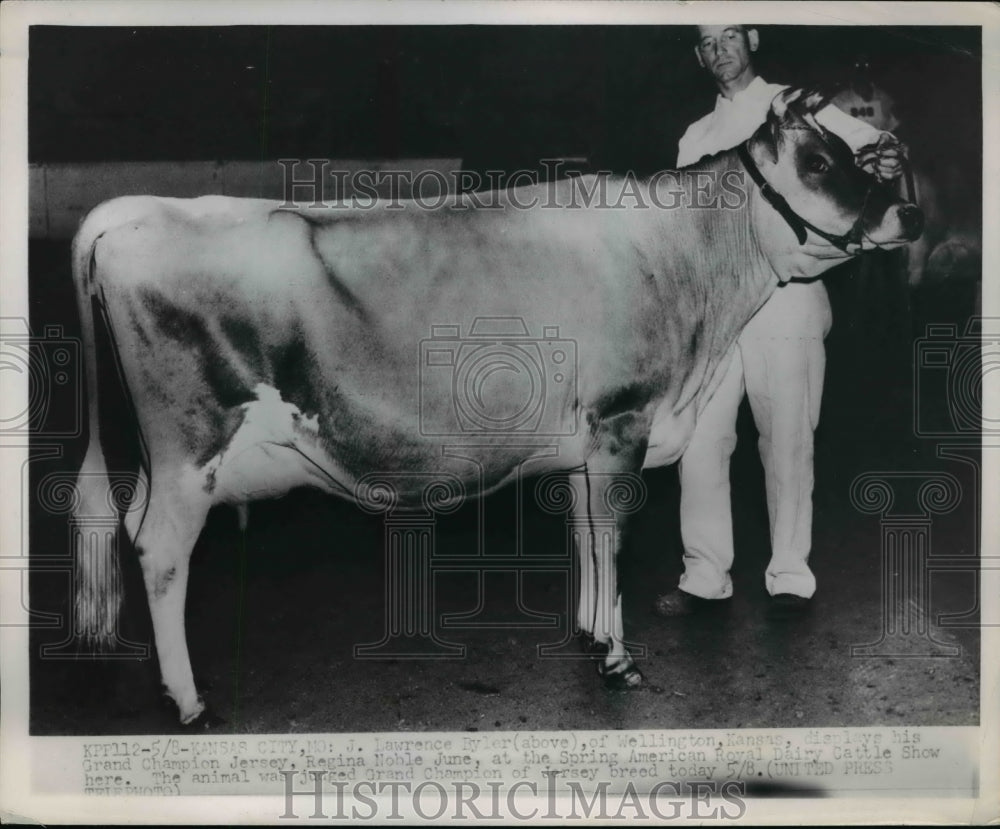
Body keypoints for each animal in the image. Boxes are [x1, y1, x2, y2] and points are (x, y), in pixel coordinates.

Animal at [66, 89, 916, 724]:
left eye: (852, 153)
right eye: (817, 161)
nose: (905, 213)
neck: (688, 260)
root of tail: (132, 210)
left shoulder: (584, 439)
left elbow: (586, 533)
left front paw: (589, 633)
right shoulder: (623, 418)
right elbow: (613, 537)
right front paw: (618, 658)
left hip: (164, 457)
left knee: (134, 528)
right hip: (190, 447)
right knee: (161, 551)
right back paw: (188, 700)